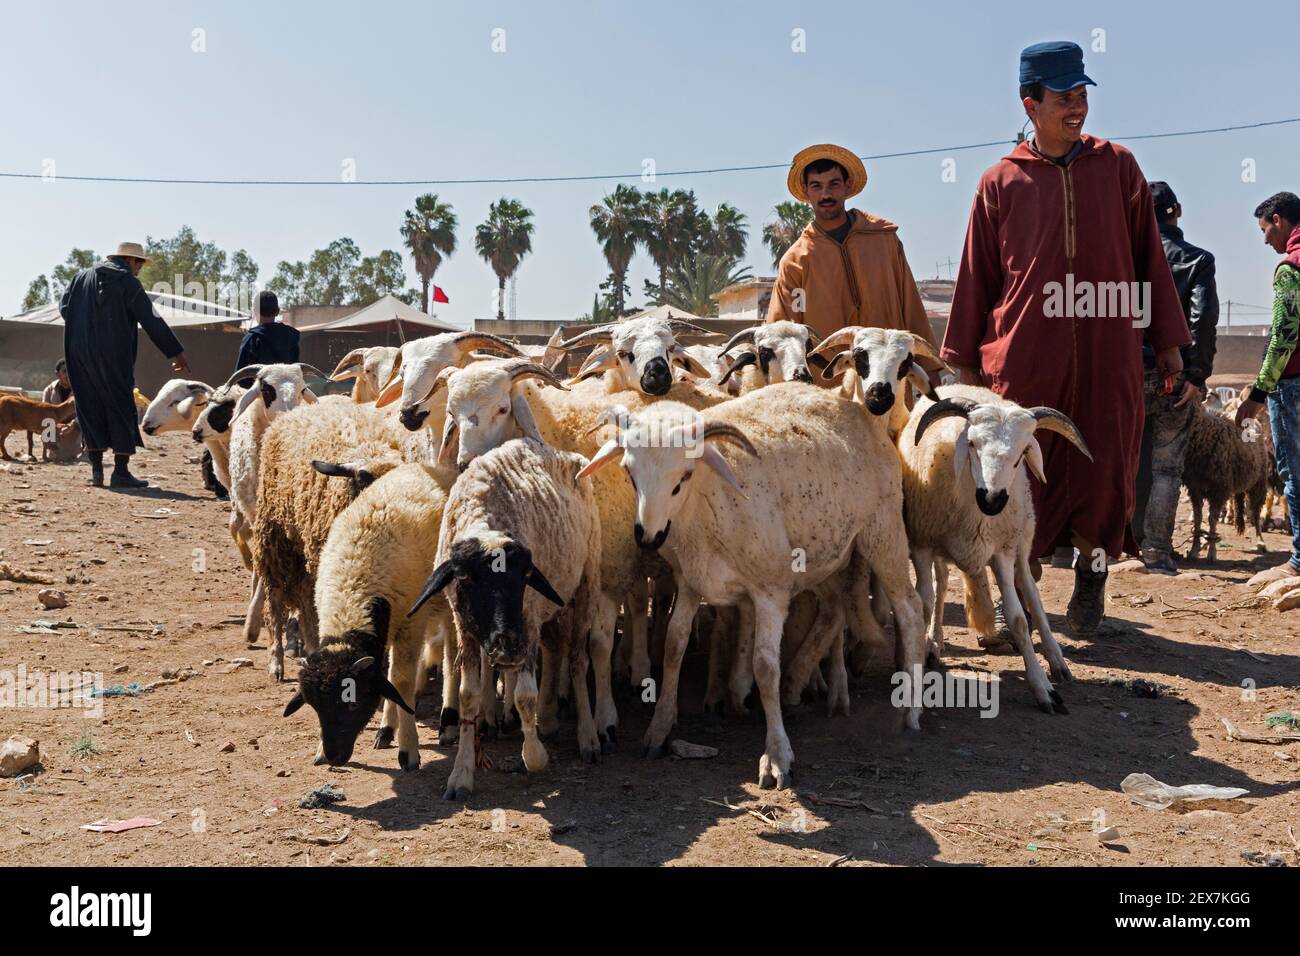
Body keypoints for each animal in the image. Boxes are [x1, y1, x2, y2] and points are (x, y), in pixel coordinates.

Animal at [410, 439, 603, 801]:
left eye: (525, 576)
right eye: (464, 577)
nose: (507, 649)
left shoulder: (527, 620)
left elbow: (525, 696)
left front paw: (535, 756)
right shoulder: (466, 628)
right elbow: (468, 696)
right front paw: (461, 773)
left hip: (586, 580)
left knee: (577, 661)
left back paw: (589, 737)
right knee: (556, 652)